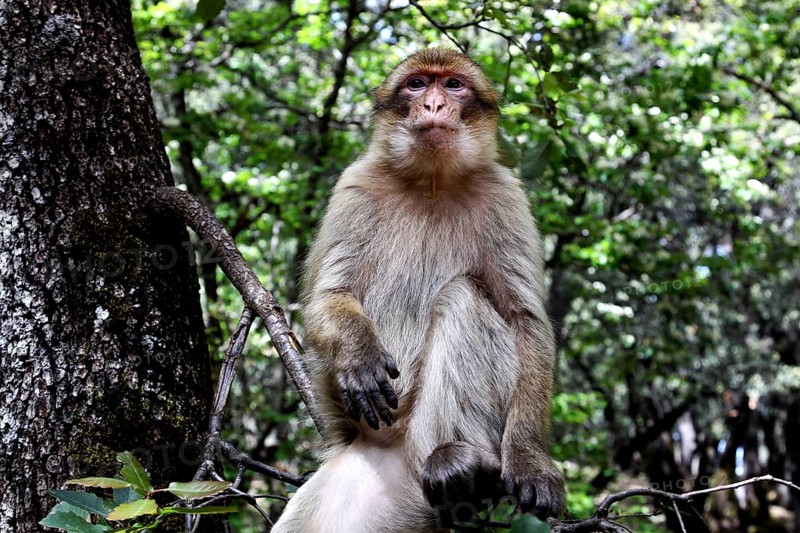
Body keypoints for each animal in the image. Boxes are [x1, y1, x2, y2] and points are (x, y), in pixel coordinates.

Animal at [272, 48, 565, 533]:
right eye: (416, 84)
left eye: (453, 85)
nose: (433, 104)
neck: (432, 182)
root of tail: (391, 455)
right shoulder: (355, 187)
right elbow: (329, 297)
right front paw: (360, 352)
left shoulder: (506, 197)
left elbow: (526, 322)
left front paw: (530, 460)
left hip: (423, 438)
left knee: (463, 296)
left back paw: (471, 467)